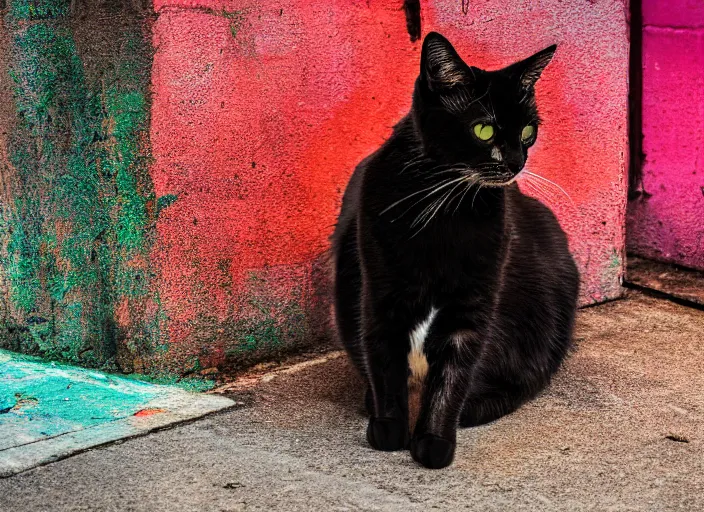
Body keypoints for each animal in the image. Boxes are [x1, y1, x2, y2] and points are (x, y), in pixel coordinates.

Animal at [332, 33, 580, 472]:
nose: (516, 162)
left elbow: (454, 373)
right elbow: (382, 355)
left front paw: (433, 442)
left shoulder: (473, 304)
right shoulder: (380, 291)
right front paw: (388, 430)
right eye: (483, 129)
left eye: (528, 131)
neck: (446, 209)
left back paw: (476, 408)